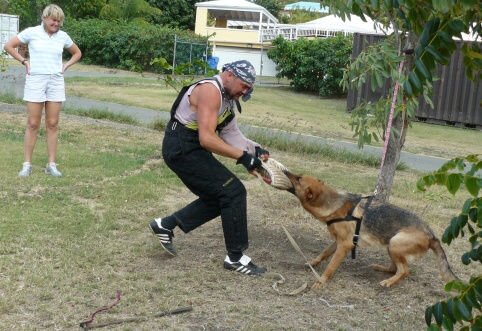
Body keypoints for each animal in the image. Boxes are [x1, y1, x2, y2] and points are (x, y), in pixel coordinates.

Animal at [284, 172, 458, 290]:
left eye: (298, 179)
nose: (285, 171)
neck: (334, 204)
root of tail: (432, 235)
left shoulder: (345, 245)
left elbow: (330, 267)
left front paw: (320, 282)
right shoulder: (339, 242)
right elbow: (324, 253)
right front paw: (312, 262)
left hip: (395, 243)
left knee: (404, 271)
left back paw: (389, 282)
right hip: (391, 245)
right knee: (395, 268)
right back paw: (380, 269)